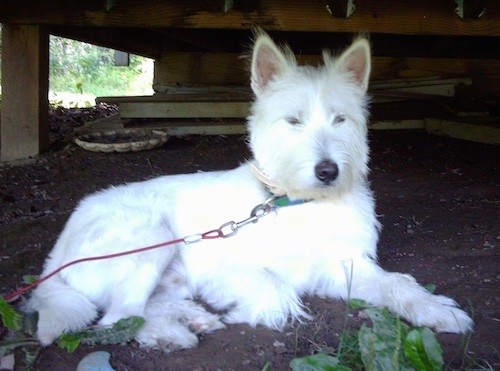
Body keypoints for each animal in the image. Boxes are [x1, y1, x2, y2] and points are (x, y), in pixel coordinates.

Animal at [27, 29, 472, 352]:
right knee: (117, 318)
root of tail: (54, 258)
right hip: (150, 237)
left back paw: (189, 318)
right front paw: (246, 312)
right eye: (293, 121)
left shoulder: (346, 265)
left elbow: (399, 283)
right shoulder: (222, 268)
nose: (328, 171)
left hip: (166, 272)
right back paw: (172, 333)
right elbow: (278, 293)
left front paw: (436, 309)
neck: (296, 203)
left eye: (340, 119)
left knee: (138, 308)